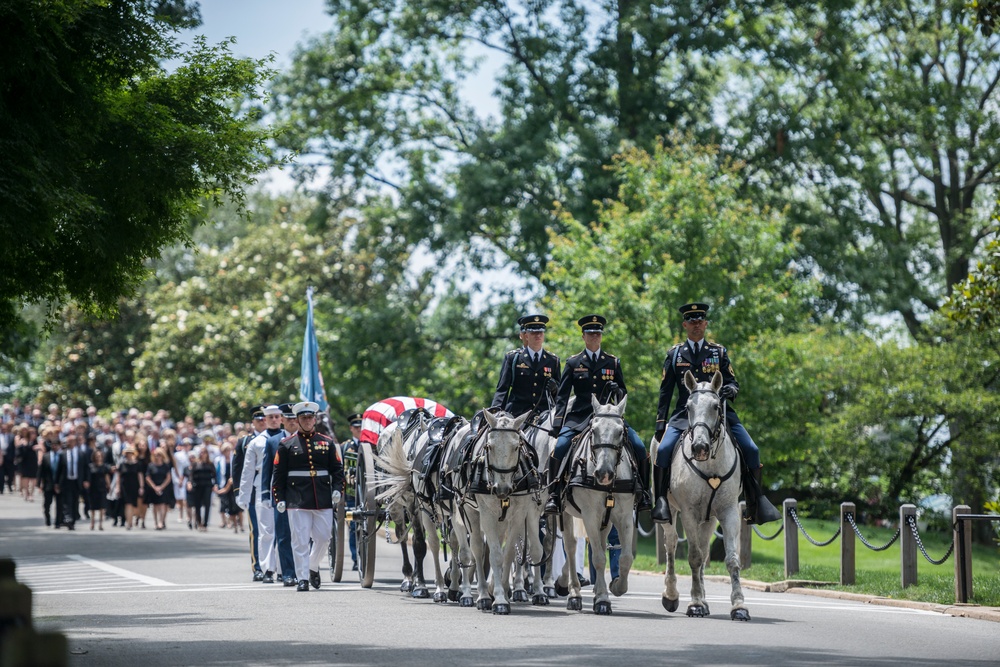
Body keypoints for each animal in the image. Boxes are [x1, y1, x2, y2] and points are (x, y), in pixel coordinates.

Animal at [556, 396, 640, 616]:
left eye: (620, 431)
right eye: (593, 430)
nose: (604, 473)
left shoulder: (624, 517)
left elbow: (625, 557)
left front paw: (616, 587)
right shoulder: (590, 516)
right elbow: (599, 558)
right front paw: (602, 600)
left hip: (606, 520)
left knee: (597, 545)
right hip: (564, 513)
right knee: (570, 547)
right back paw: (574, 593)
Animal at [660, 370, 748, 620]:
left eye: (717, 406)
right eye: (688, 407)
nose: (700, 447)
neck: (710, 466)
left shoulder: (728, 511)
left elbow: (731, 559)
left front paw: (738, 605)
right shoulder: (688, 513)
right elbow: (694, 557)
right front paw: (695, 603)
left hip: (709, 518)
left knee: (704, 549)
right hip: (671, 512)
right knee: (672, 545)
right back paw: (671, 595)